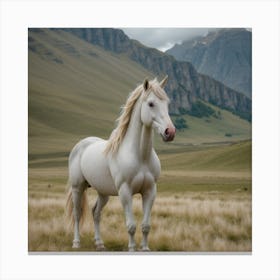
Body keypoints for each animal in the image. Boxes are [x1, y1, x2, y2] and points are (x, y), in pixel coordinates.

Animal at [65, 76, 175, 252]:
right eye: (151, 103)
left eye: (167, 103)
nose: (170, 132)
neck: (140, 156)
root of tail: (81, 145)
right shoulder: (125, 191)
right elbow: (131, 226)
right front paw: (132, 248)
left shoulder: (150, 191)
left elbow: (146, 226)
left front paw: (145, 248)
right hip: (78, 187)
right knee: (77, 213)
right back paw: (76, 243)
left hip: (103, 192)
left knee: (96, 213)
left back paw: (99, 243)